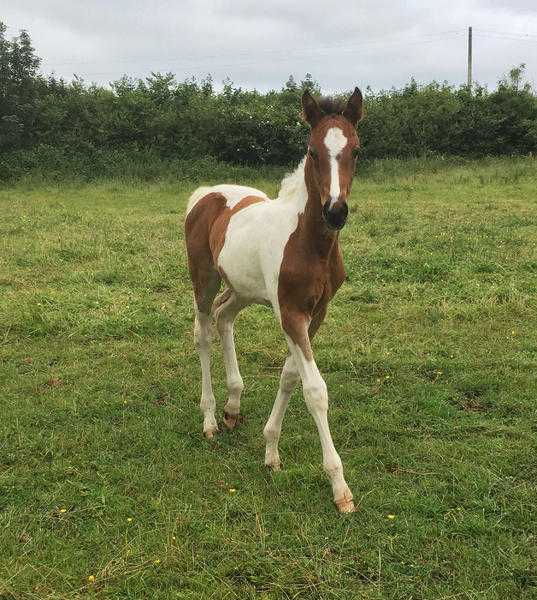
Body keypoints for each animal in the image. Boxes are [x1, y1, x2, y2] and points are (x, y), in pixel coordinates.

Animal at [184, 88, 364, 510]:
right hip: (205, 280)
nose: (336, 211)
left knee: (224, 317)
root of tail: (204, 194)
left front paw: (270, 450)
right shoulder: (291, 313)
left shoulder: (315, 313)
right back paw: (211, 418)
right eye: (313, 151)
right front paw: (339, 486)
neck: (309, 243)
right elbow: (315, 390)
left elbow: (290, 376)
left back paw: (233, 405)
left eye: (356, 150)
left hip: (243, 288)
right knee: (203, 332)